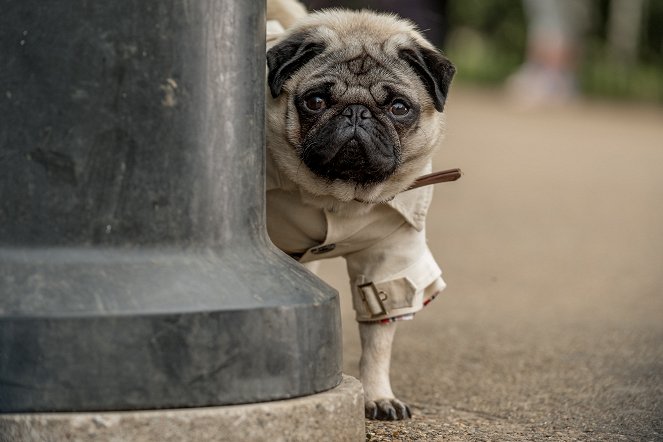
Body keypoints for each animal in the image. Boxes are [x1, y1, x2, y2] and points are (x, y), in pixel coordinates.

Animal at [264, 0, 456, 422]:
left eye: (399, 108)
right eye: (315, 101)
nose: (356, 113)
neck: (340, 197)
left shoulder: (388, 258)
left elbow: (378, 342)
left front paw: (377, 395)